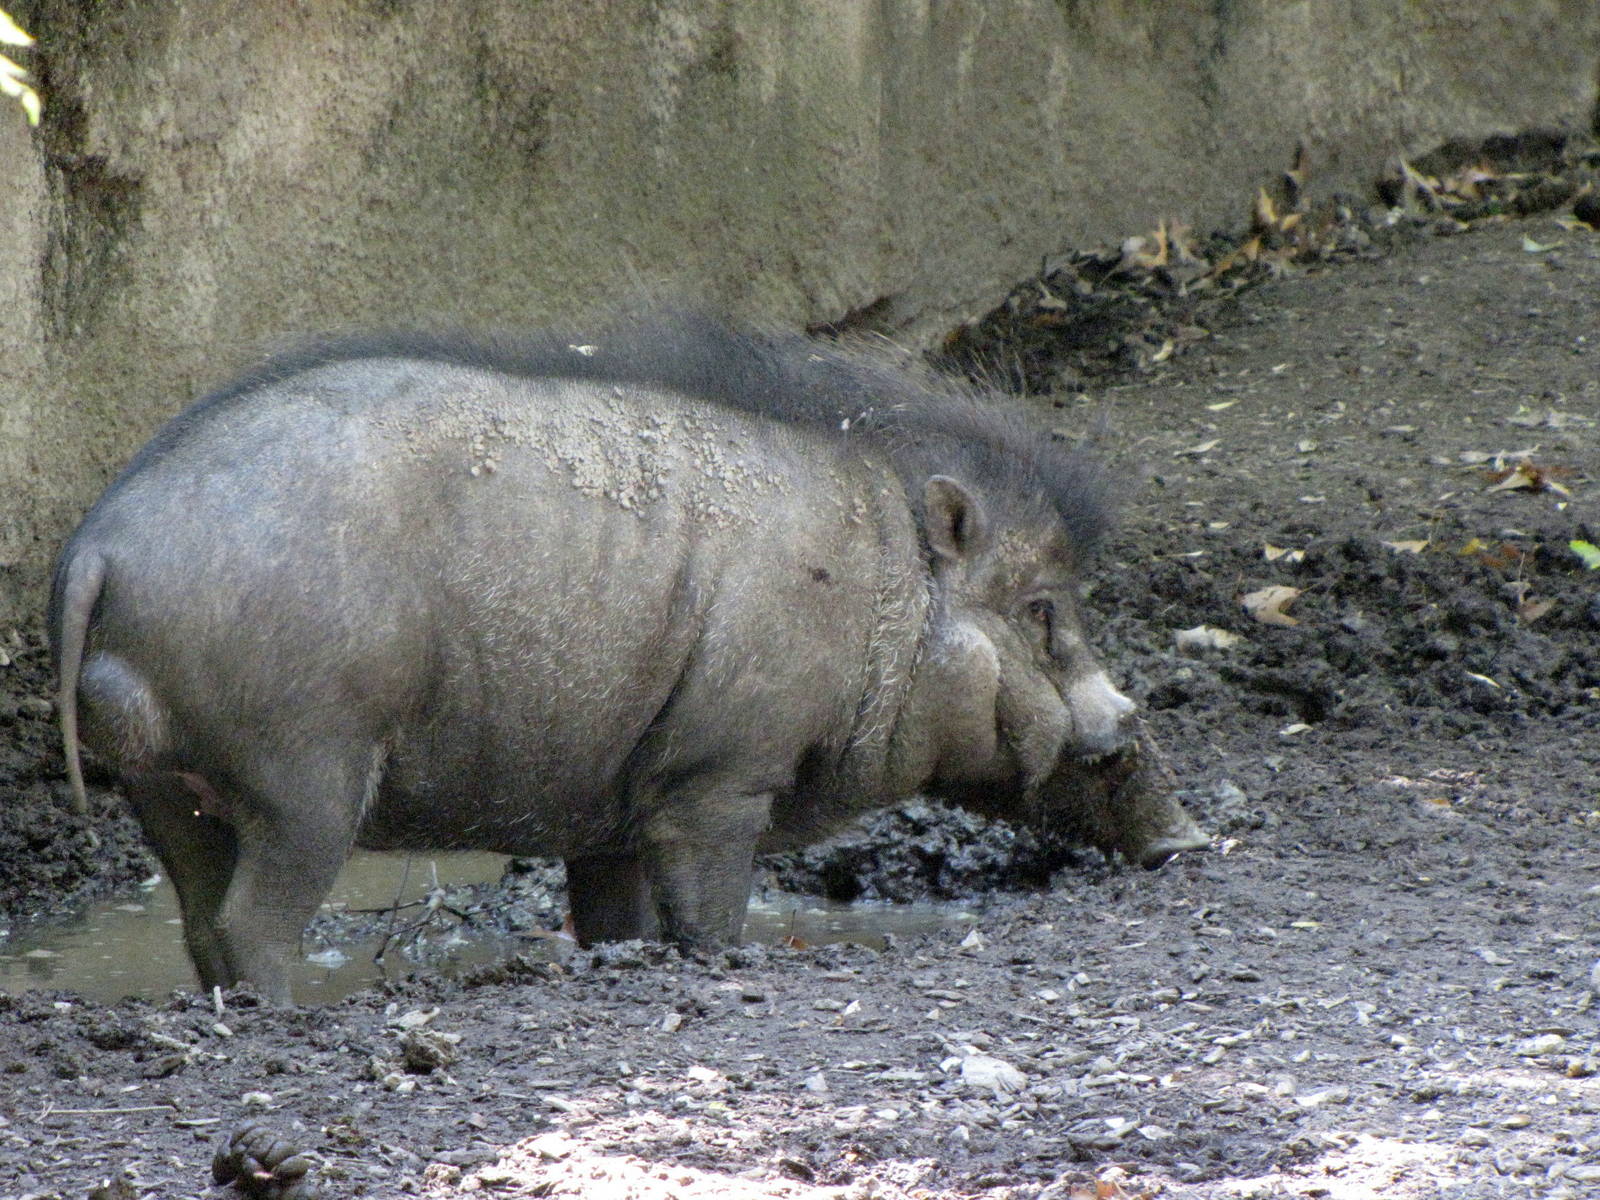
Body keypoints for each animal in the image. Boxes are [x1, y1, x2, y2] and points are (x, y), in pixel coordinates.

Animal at [51, 316, 1207, 1002]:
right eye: (1043, 610)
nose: (1188, 841)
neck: (886, 585)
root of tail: (103, 545)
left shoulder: (613, 802)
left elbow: (616, 913)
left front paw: (622, 959)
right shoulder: (722, 773)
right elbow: (708, 903)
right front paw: (722, 964)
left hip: (165, 786)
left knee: (199, 913)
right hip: (306, 770)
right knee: (250, 916)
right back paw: (297, 1014)